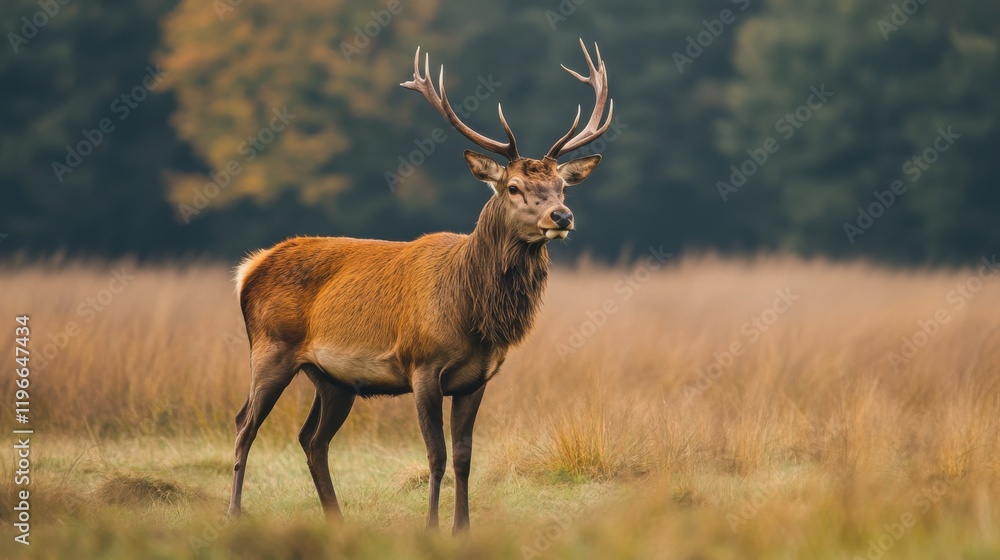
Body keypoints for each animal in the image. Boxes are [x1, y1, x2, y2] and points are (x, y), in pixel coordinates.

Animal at [227, 39, 613, 533]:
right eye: (513, 186)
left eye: (563, 186)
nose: (561, 217)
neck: (472, 313)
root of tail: (249, 268)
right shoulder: (422, 366)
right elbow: (437, 455)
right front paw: (431, 528)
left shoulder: (476, 380)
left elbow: (465, 456)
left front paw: (462, 529)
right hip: (270, 348)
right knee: (245, 424)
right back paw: (235, 513)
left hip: (332, 378)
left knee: (311, 439)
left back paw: (337, 520)